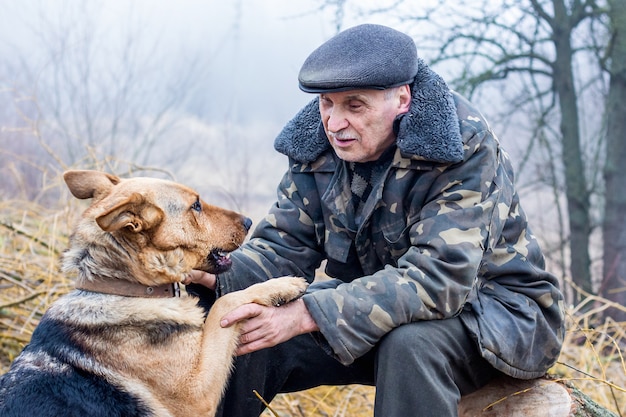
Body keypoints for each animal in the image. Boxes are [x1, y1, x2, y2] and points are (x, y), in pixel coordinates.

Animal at [0, 169, 304, 416]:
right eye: (196, 205)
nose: (250, 221)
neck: (129, 289)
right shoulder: (197, 393)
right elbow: (225, 303)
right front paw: (282, 285)